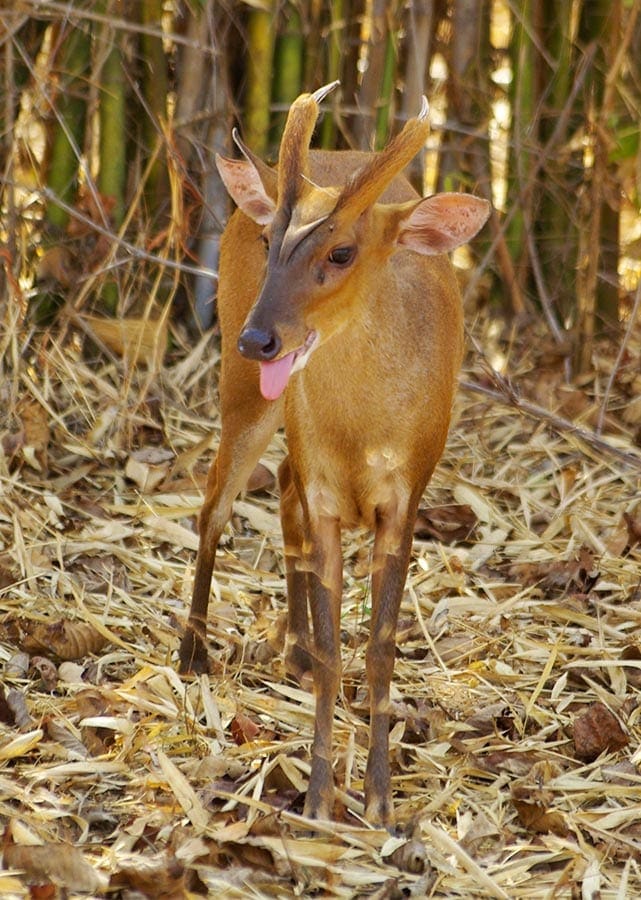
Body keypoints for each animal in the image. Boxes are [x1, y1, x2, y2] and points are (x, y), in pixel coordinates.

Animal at [180, 84, 490, 828]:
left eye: (343, 252)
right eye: (271, 240)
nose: (259, 339)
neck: (360, 434)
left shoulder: (404, 498)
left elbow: (377, 650)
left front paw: (378, 799)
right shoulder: (327, 493)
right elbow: (333, 651)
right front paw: (321, 797)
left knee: (279, 487)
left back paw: (285, 641)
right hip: (245, 395)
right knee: (216, 502)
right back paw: (193, 652)